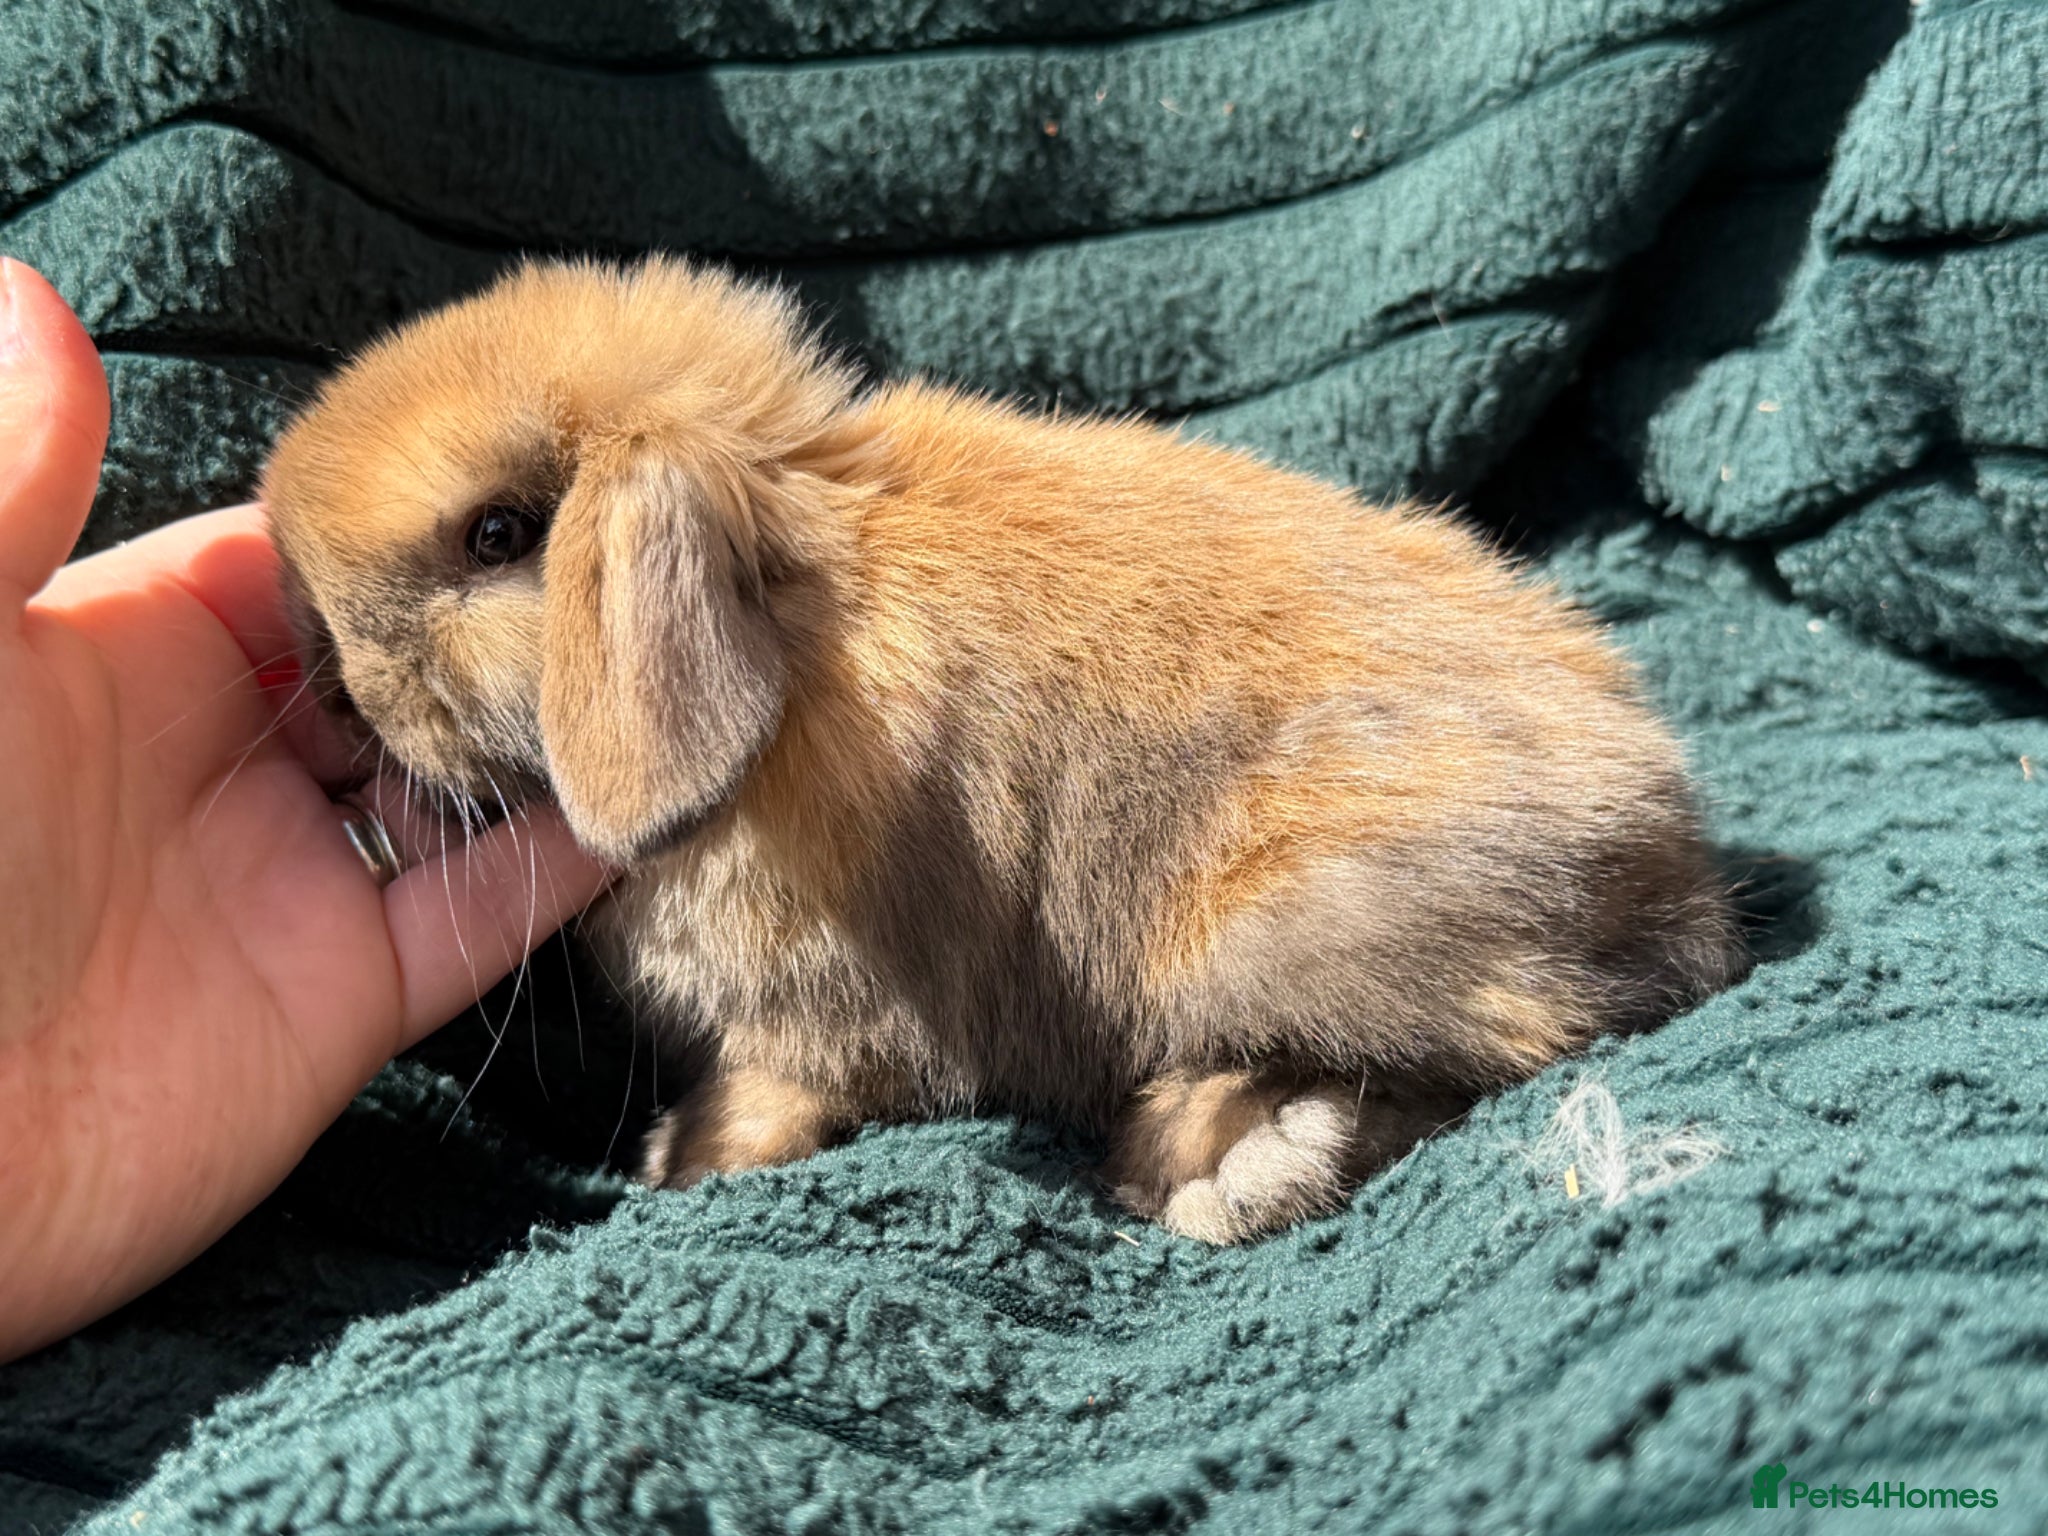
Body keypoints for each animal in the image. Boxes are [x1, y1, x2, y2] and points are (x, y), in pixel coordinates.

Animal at [261, 256, 1748, 1243]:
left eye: (498, 535)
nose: (330, 682)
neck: (795, 627)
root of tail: (1672, 864)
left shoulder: (820, 1018)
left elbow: (781, 1089)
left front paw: (689, 1167)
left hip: (1282, 930)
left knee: (1498, 1046)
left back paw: (1210, 1163)